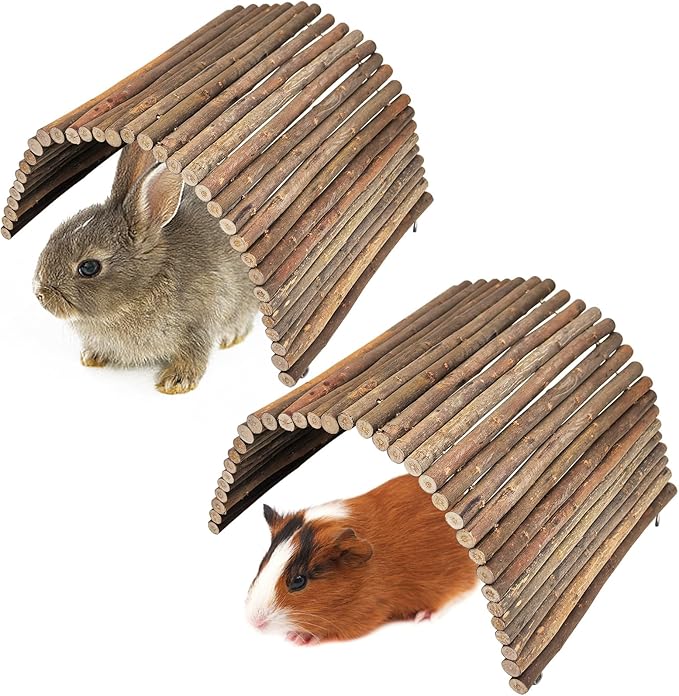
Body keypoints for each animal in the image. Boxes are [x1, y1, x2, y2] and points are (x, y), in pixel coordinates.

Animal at [33, 143, 258, 394]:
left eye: (89, 267)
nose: (40, 295)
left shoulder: (199, 321)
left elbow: (194, 352)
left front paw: (175, 382)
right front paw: (91, 356)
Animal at [246, 474, 477, 644]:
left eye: (298, 581)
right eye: (261, 565)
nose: (254, 622)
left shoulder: (366, 613)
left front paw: (298, 638)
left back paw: (423, 615)